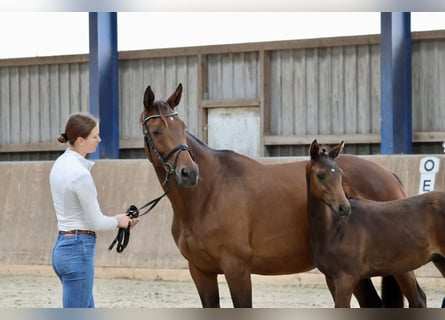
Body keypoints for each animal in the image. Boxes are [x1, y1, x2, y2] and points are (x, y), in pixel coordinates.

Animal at [141, 83, 420, 308]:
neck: (207, 195)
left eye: (182, 127)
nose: (189, 172)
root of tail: (389, 175)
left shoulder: (236, 268)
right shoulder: (201, 271)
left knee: (417, 299)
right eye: (156, 131)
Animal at [304, 140, 438, 308]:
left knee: (417, 299)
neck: (335, 229)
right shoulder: (330, 279)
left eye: (341, 174)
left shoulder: (346, 280)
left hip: (403, 268)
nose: (344, 207)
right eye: (320, 174)